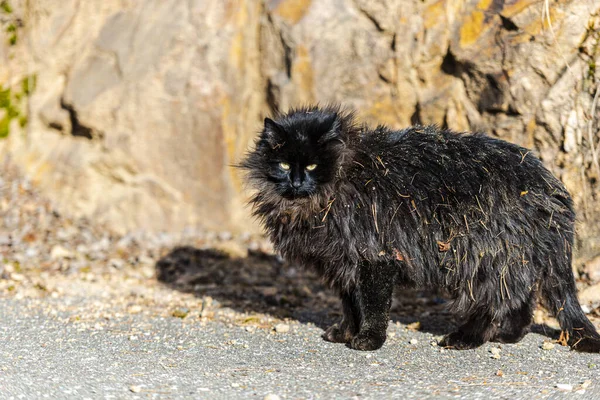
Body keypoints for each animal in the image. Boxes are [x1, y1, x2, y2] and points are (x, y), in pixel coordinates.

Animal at [240, 104, 600, 352]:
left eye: (313, 165)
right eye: (284, 164)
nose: (297, 181)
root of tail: (550, 185)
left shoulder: (375, 256)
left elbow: (372, 306)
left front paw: (368, 340)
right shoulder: (343, 262)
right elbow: (350, 304)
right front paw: (345, 332)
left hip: (482, 254)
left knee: (494, 300)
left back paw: (466, 338)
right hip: (510, 258)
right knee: (520, 299)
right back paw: (508, 335)